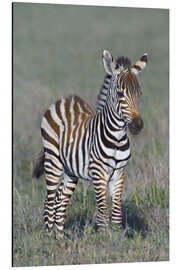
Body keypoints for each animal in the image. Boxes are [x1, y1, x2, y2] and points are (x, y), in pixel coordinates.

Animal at [33, 49, 147, 237]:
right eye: (120, 94)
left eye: (139, 93)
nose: (138, 126)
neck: (117, 138)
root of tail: (64, 100)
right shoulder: (98, 172)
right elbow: (102, 212)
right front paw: (104, 238)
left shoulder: (119, 173)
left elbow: (117, 213)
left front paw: (117, 238)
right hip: (53, 161)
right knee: (49, 202)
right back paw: (49, 238)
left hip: (71, 170)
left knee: (60, 201)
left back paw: (60, 238)